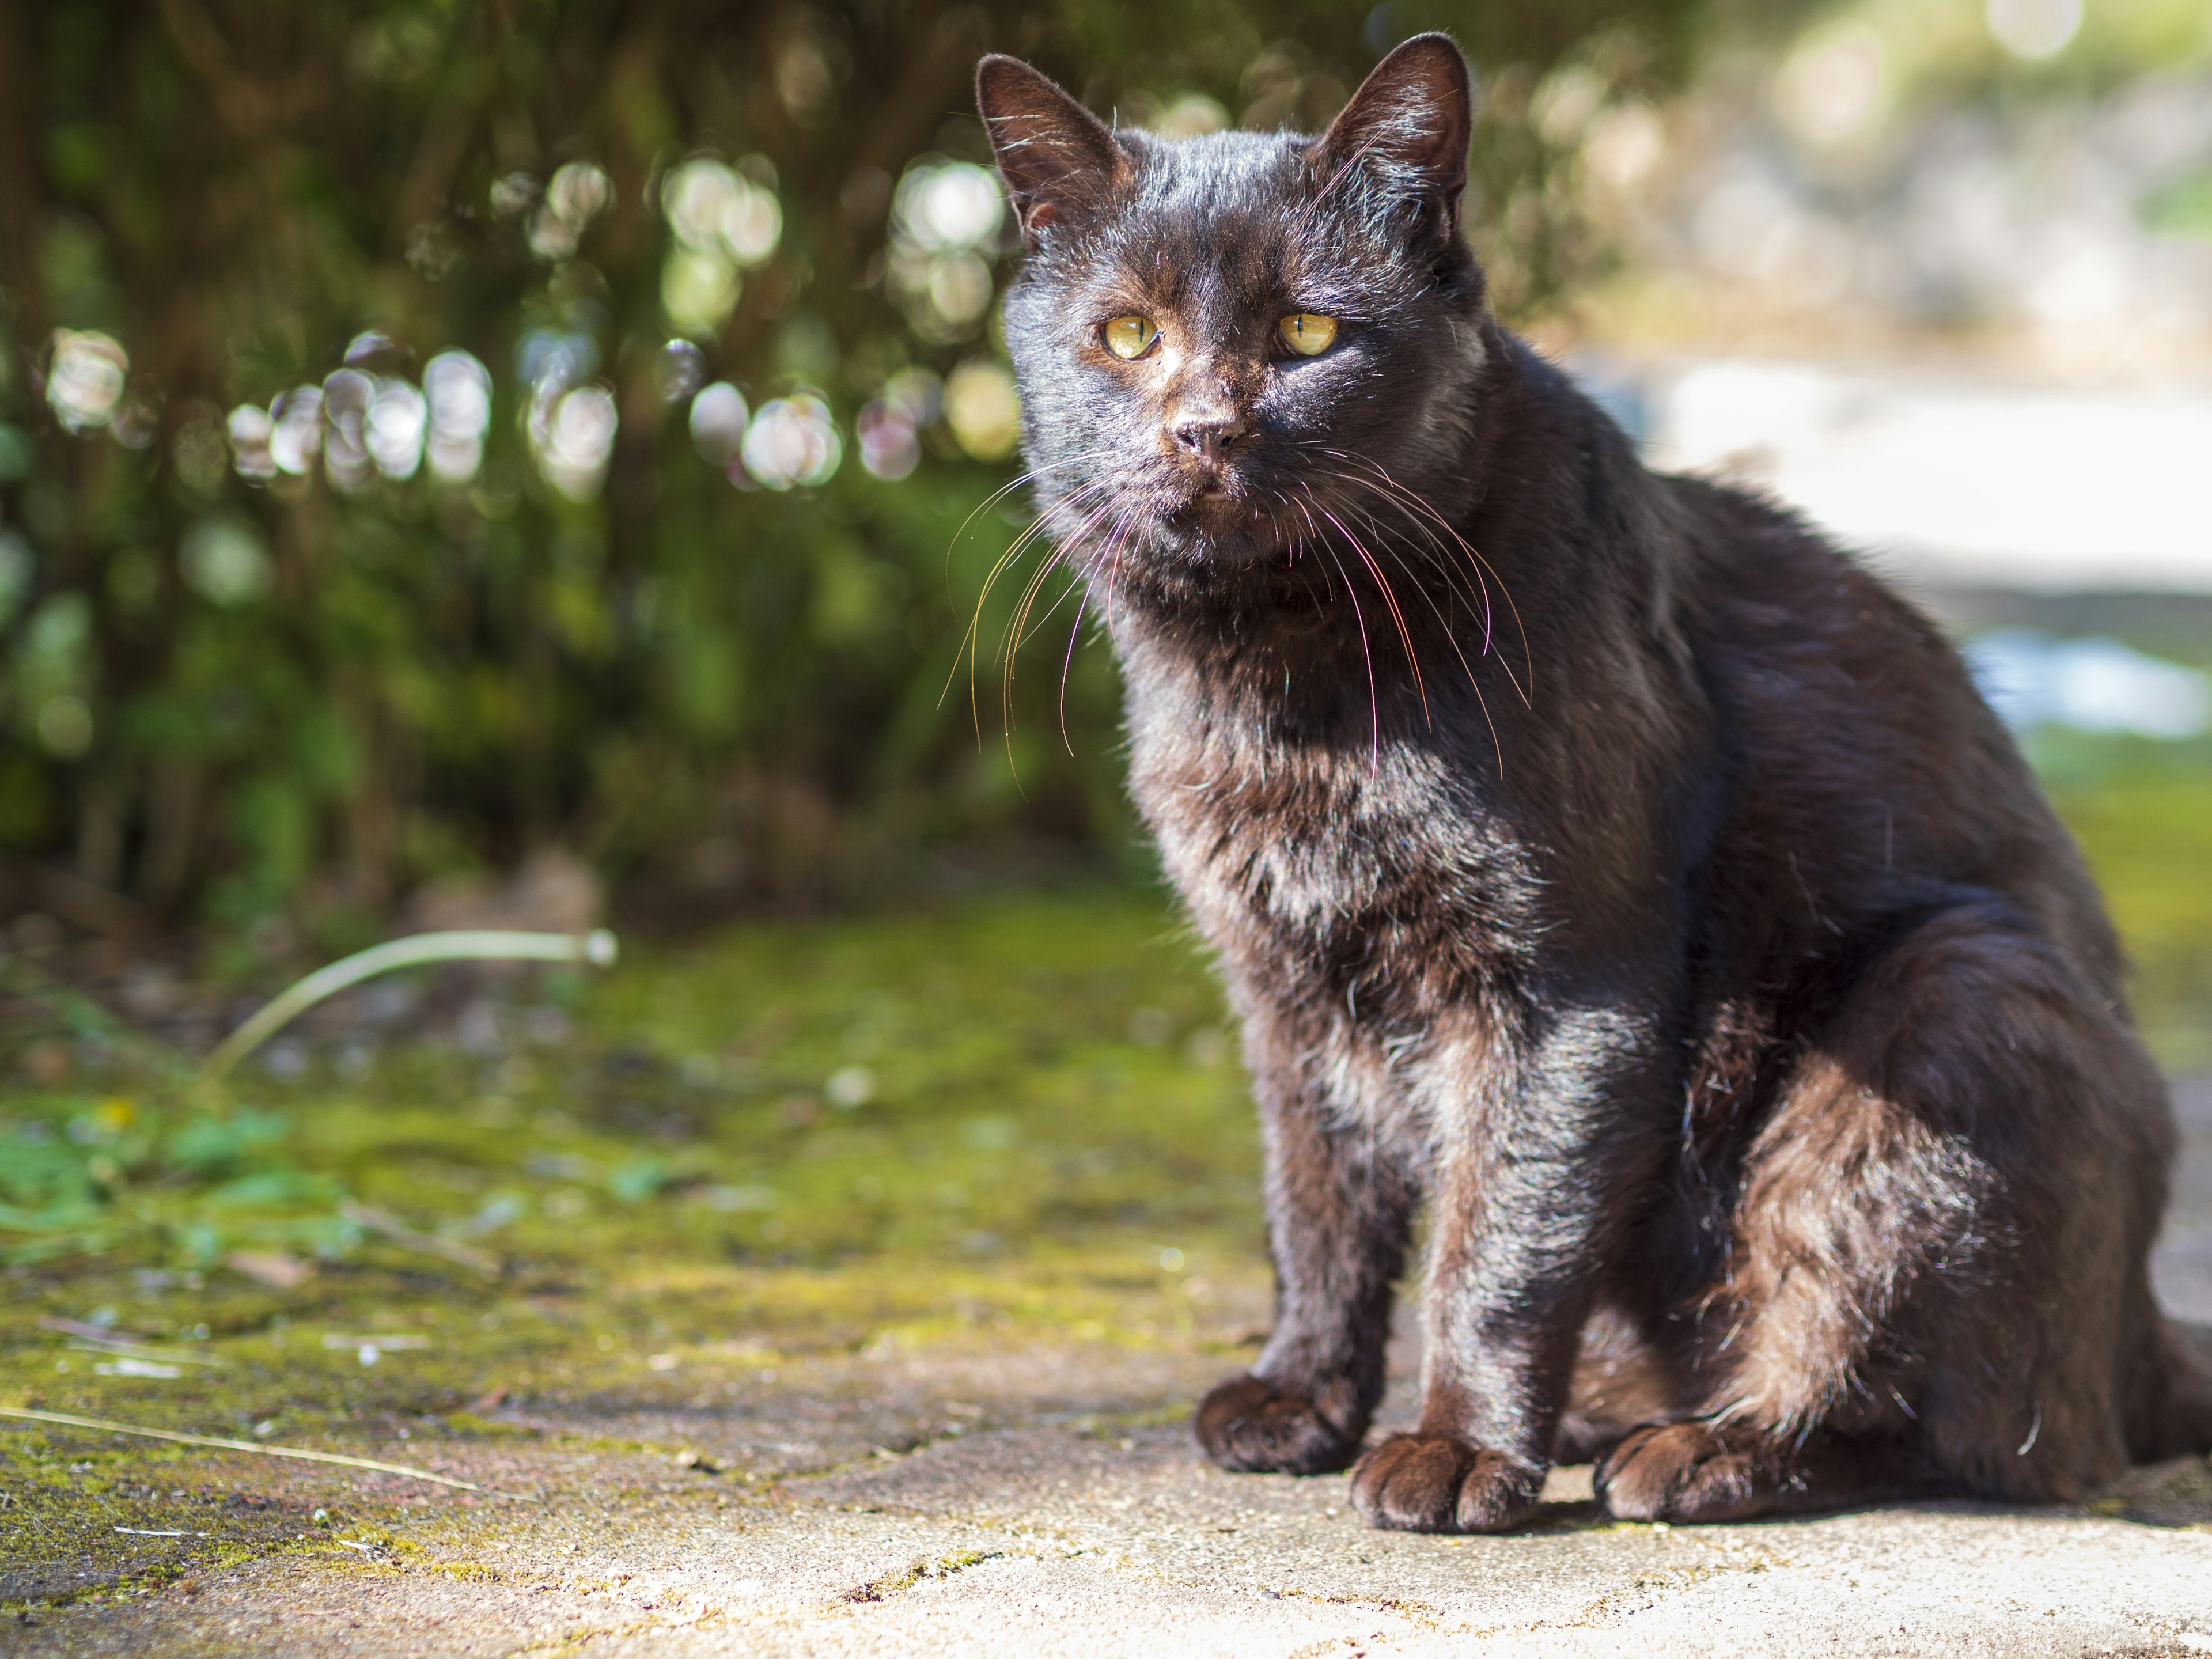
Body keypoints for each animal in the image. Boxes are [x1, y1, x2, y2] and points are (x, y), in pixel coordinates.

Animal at [973, 32, 2212, 1531]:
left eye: (1309, 336)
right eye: (1127, 336)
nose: (1205, 427)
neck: (1282, 683)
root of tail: (2145, 1326)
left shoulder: (1569, 983)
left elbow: (1497, 1237)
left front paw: (1455, 1452)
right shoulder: (1282, 989)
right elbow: (1315, 1209)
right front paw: (1301, 1398)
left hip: (1953, 1000)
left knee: (1910, 1392)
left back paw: (1702, 1450)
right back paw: (1602, 1414)